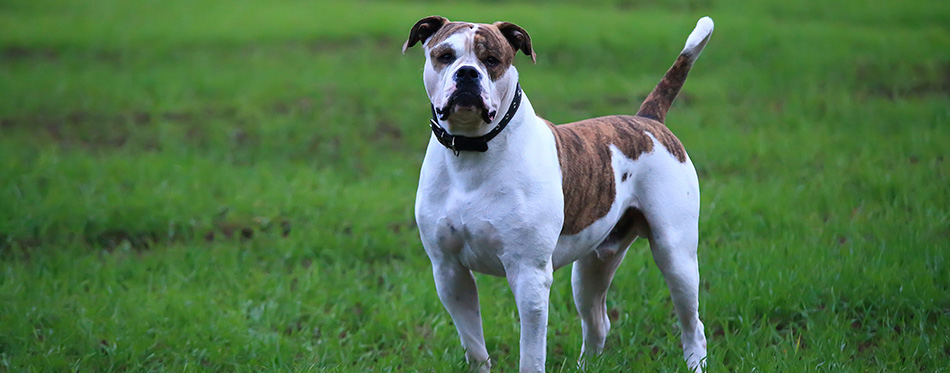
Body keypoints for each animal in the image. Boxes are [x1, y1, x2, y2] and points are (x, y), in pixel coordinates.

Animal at [402, 15, 712, 372]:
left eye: (491, 59)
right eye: (444, 56)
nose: (467, 73)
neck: (472, 151)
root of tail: (648, 121)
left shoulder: (530, 275)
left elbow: (531, 353)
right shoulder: (449, 272)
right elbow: (474, 345)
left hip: (675, 253)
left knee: (692, 322)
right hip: (591, 266)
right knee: (597, 321)